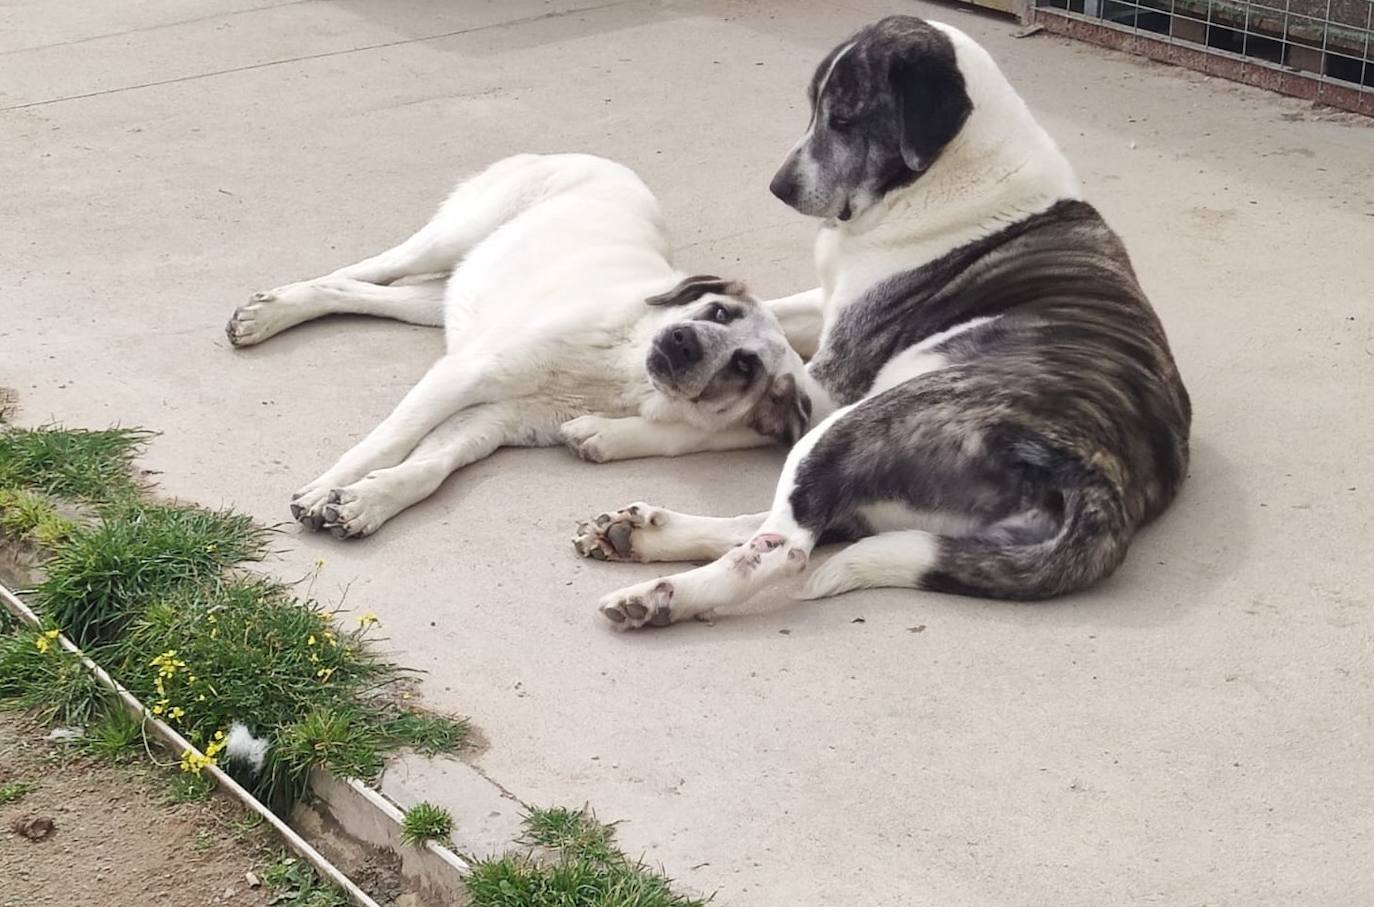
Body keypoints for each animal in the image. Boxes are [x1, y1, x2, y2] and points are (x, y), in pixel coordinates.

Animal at [574, 15, 1187, 623]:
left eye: (844, 119)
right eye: (811, 108)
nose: (780, 187)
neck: (948, 178)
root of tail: (1101, 488)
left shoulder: (827, 390)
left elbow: (716, 418)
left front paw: (615, 427)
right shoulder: (825, 307)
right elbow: (769, 314)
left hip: (847, 428)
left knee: (784, 548)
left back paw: (661, 595)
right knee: (788, 525)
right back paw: (644, 537)